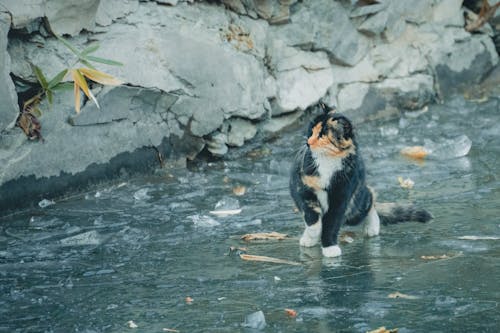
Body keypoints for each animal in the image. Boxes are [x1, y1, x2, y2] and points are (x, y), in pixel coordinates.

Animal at [292, 106, 432, 256]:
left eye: (322, 135)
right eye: (311, 131)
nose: (308, 143)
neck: (327, 160)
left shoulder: (341, 196)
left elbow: (331, 223)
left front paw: (330, 248)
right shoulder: (304, 189)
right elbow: (311, 217)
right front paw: (312, 235)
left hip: (355, 206)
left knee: (370, 197)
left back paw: (372, 227)